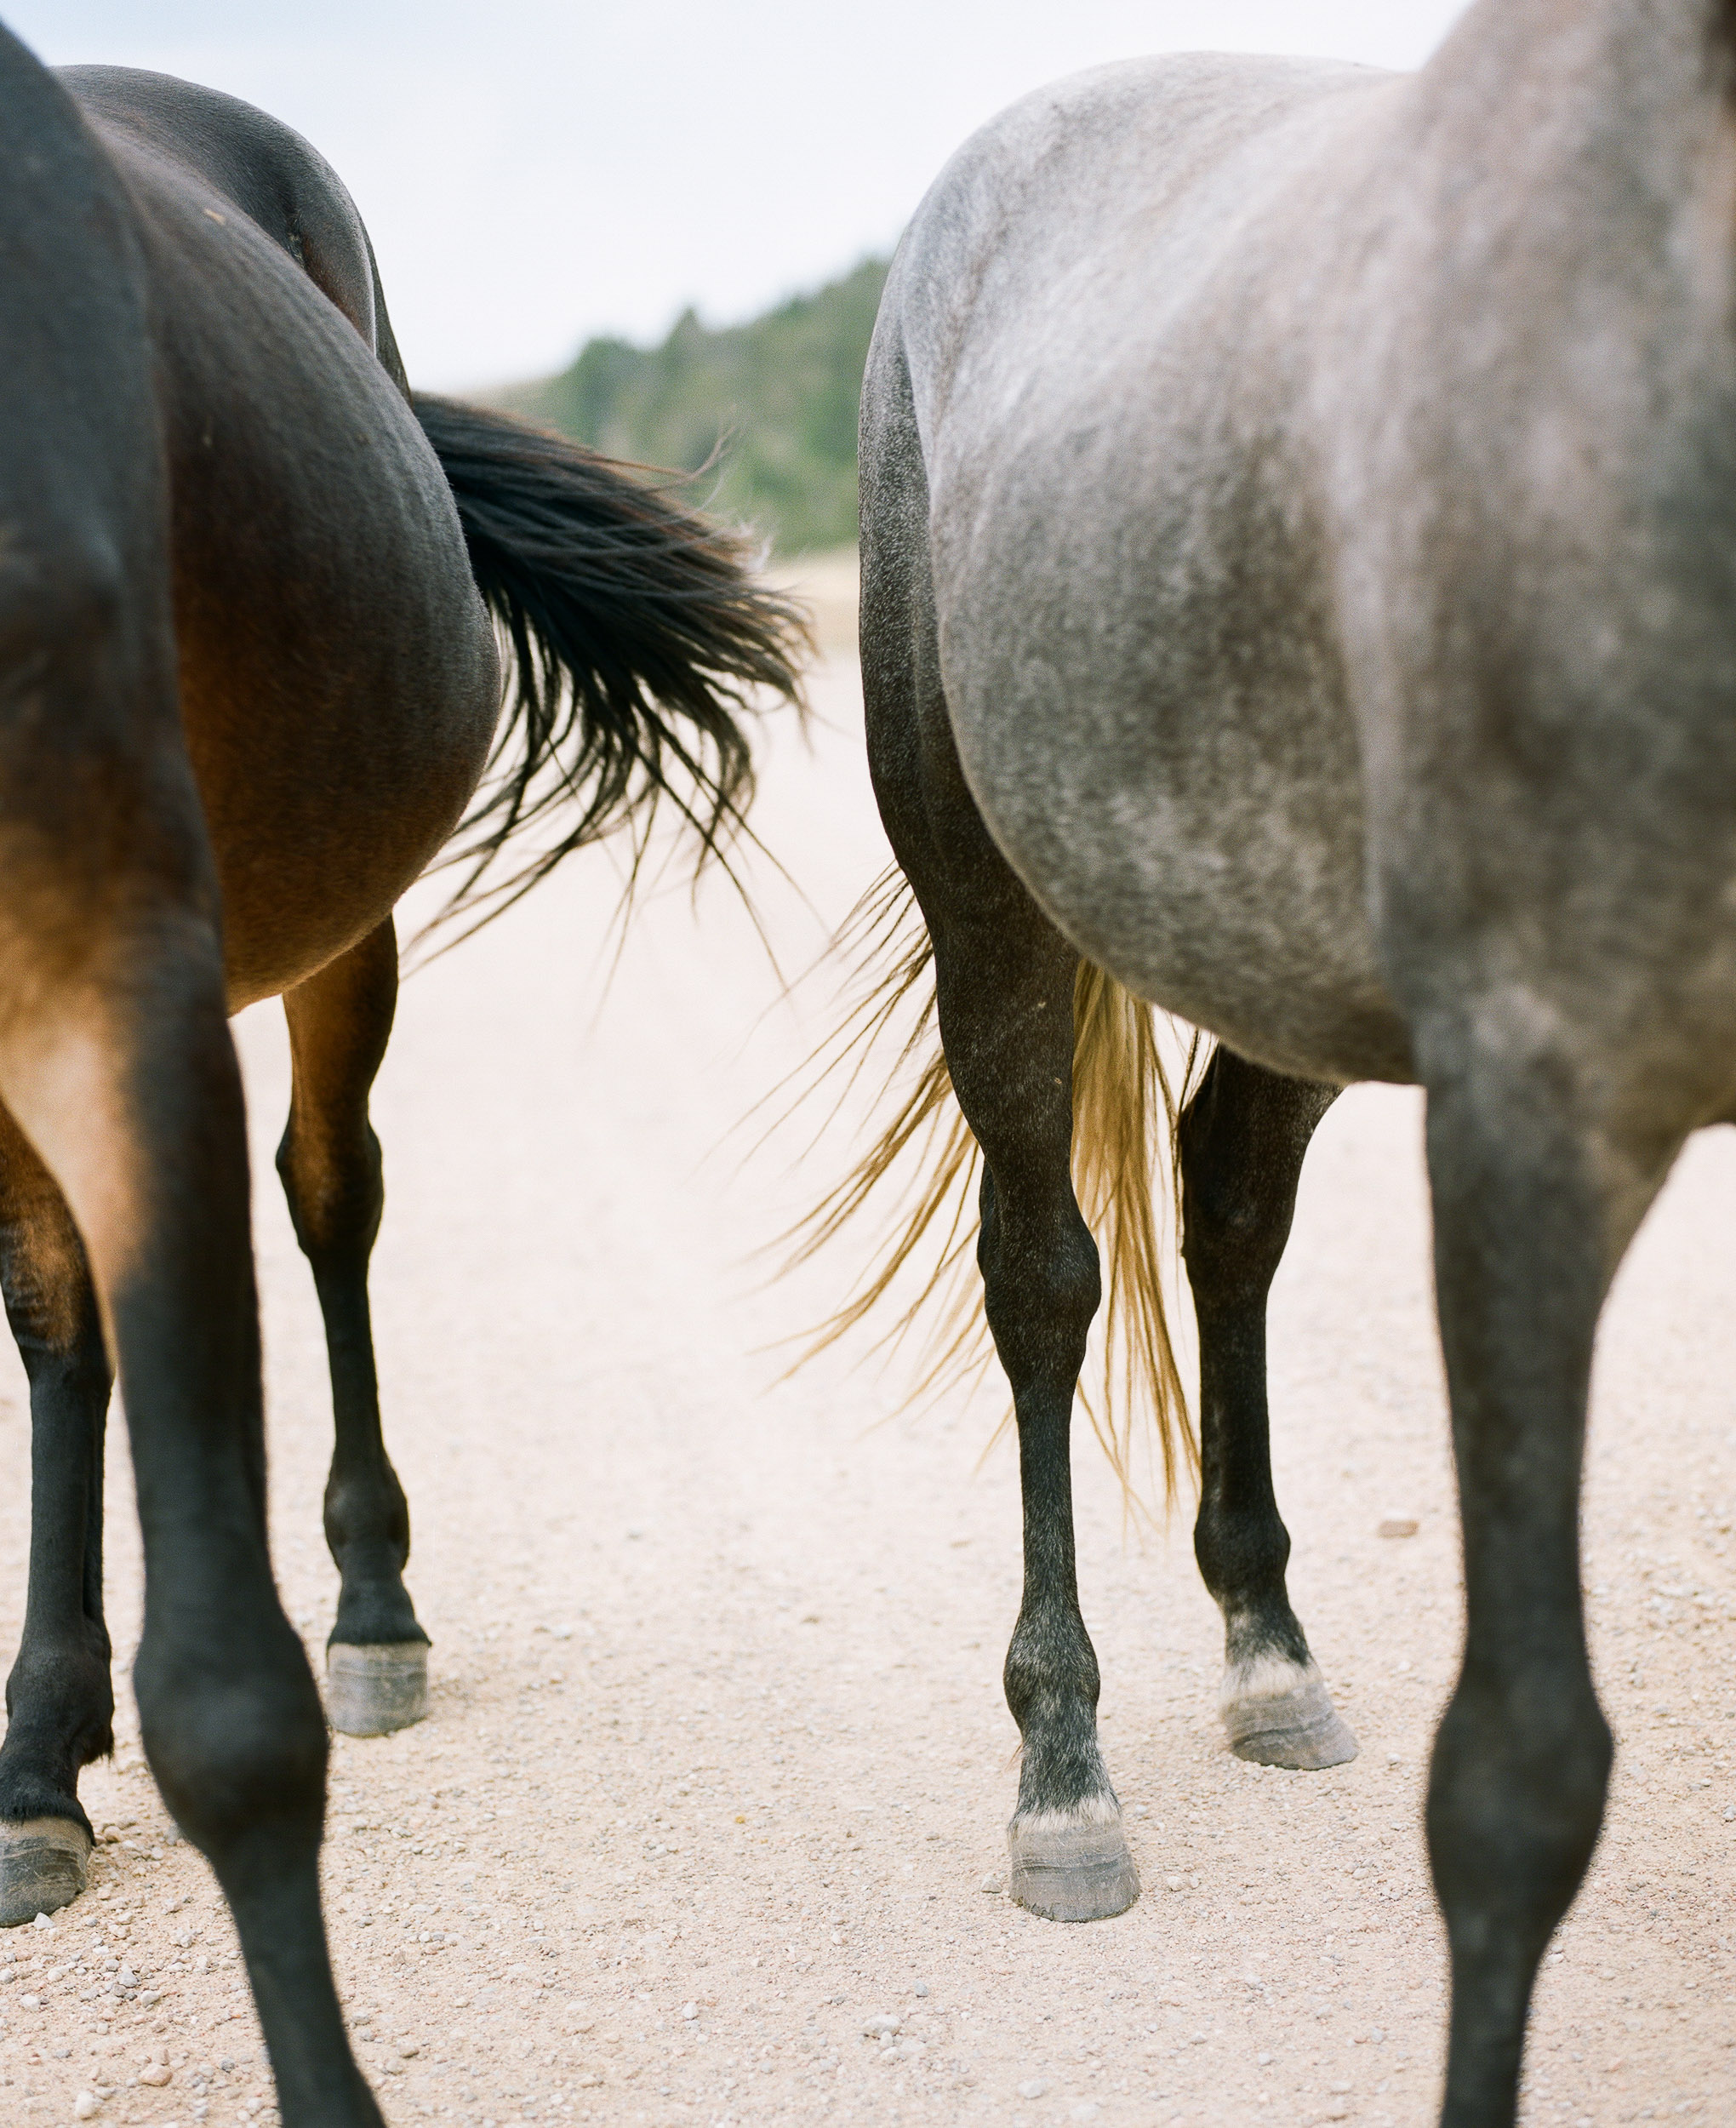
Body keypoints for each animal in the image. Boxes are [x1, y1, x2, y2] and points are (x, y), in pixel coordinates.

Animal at [0, 33, 800, 2128]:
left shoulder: (126, 978)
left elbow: (231, 1688)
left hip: (340, 926)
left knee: (331, 1194)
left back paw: (375, 1604)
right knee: (71, 1328)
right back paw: (40, 1750)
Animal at [842, 3, 1736, 2128]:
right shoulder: (1534, 1123)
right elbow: (1519, 1774)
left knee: (1228, 1199)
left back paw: (1265, 1641)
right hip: (993, 919)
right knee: (1046, 1281)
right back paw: (1064, 1775)